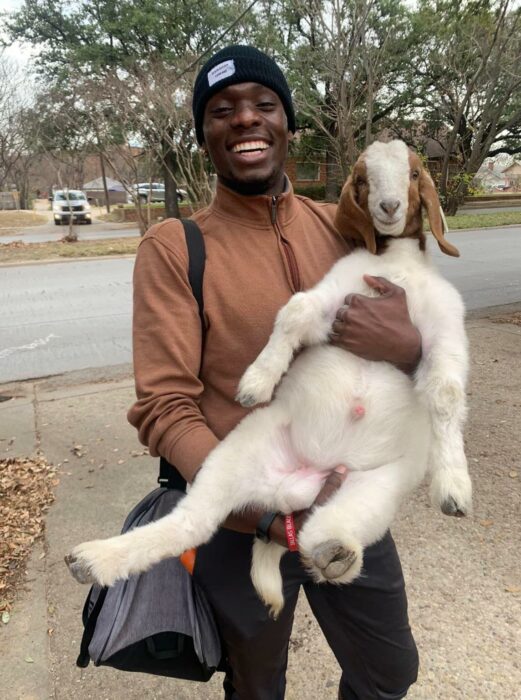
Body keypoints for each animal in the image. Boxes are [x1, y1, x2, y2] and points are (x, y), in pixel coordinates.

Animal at [65, 138, 472, 616]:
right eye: (361, 177)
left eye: (413, 173)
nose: (388, 207)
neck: (393, 264)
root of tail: (295, 489)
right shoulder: (331, 304)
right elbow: (294, 310)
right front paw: (256, 382)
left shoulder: (442, 330)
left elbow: (445, 391)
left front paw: (453, 489)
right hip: (234, 457)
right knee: (192, 523)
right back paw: (94, 559)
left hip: (375, 490)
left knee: (319, 536)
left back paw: (338, 554)